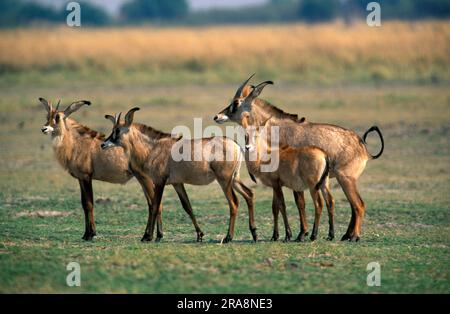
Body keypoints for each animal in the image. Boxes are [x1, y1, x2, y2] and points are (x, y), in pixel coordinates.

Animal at [40, 99, 202, 242]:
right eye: (47, 116)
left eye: (58, 117)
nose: (44, 128)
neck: (76, 143)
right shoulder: (80, 179)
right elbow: (84, 203)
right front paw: (87, 234)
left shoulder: (86, 177)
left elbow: (89, 204)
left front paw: (90, 234)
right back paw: (157, 235)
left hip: (144, 178)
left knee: (154, 203)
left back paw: (152, 236)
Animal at [102, 107, 256, 243]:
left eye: (117, 130)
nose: (103, 144)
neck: (153, 147)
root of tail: (236, 145)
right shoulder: (177, 183)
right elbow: (187, 206)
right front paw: (199, 235)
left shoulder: (159, 181)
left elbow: (155, 205)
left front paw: (148, 236)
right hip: (234, 179)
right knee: (249, 194)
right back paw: (254, 233)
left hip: (224, 180)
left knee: (234, 203)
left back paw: (228, 237)